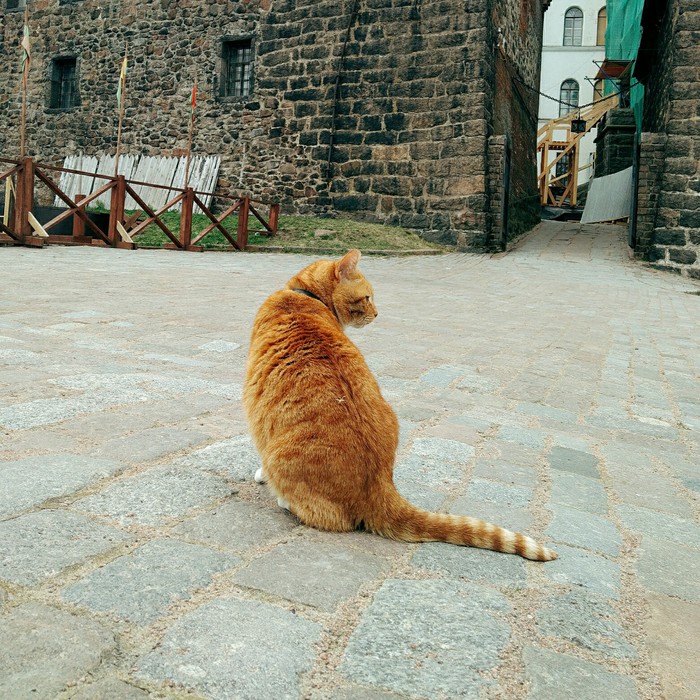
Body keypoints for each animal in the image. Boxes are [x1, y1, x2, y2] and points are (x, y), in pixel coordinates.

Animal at [242, 249, 556, 560]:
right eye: (367, 298)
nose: (377, 314)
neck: (304, 296)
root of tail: (380, 485)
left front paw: (261, 476)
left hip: (279, 456)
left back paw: (281, 497)